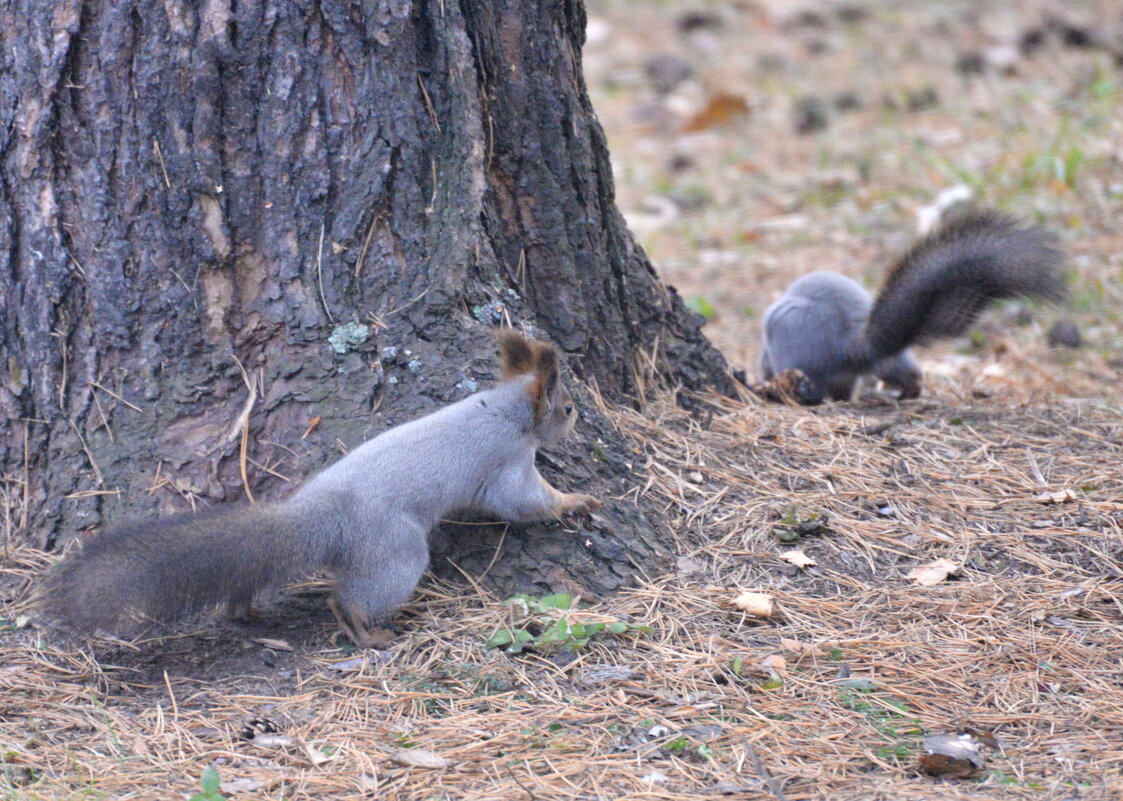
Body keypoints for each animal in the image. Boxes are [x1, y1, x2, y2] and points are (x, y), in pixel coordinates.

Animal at [39, 328, 601, 647]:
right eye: (569, 407)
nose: (580, 421)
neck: (505, 408)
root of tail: (320, 516)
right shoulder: (508, 461)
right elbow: (524, 503)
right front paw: (577, 501)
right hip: (395, 552)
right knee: (349, 599)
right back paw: (369, 634)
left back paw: (245, 609)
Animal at [754, 208, 1060, 402]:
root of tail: (851, 345)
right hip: (888, 361)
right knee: (906, 374)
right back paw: (905, 392)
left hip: (793, 345)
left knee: (816, 394)